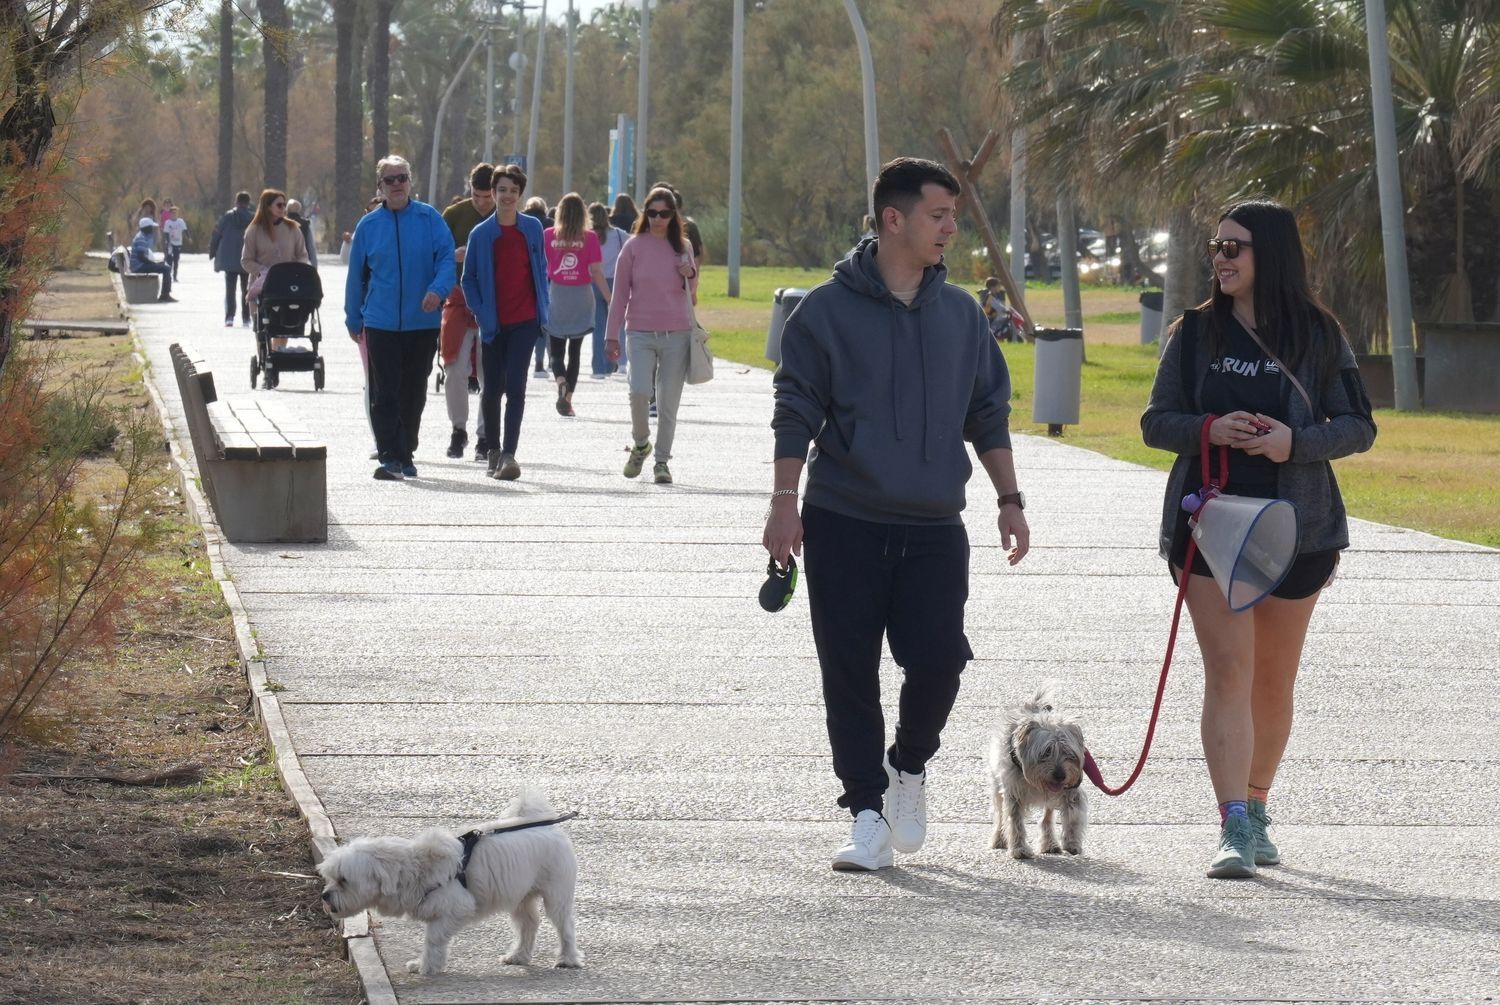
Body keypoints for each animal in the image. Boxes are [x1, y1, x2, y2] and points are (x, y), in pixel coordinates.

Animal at [319, 798, 582, 978]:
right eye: (330, 878)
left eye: (343, 880)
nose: (324, 895)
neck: (413, 868)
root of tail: (549, 826)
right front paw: (427, 965)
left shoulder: (456, 908)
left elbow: (434, 939)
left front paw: (426, 966)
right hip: (520, 896)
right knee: (528, 923)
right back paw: (518, 955)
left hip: (556, 895)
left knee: (564, 925)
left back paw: (568, 959)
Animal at [984, 690, 1092, 864]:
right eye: (1046, 751)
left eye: (1068, 752)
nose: (1060, 775)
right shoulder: (1012, 792)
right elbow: (1014, 821)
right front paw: (1019, 848)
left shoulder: (1071, 789)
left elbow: (1073, 814)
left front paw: (1072, 842)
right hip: (996, 785)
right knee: (1000, 814)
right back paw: (999, 839)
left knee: (1047, 817)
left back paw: (1049, 843)